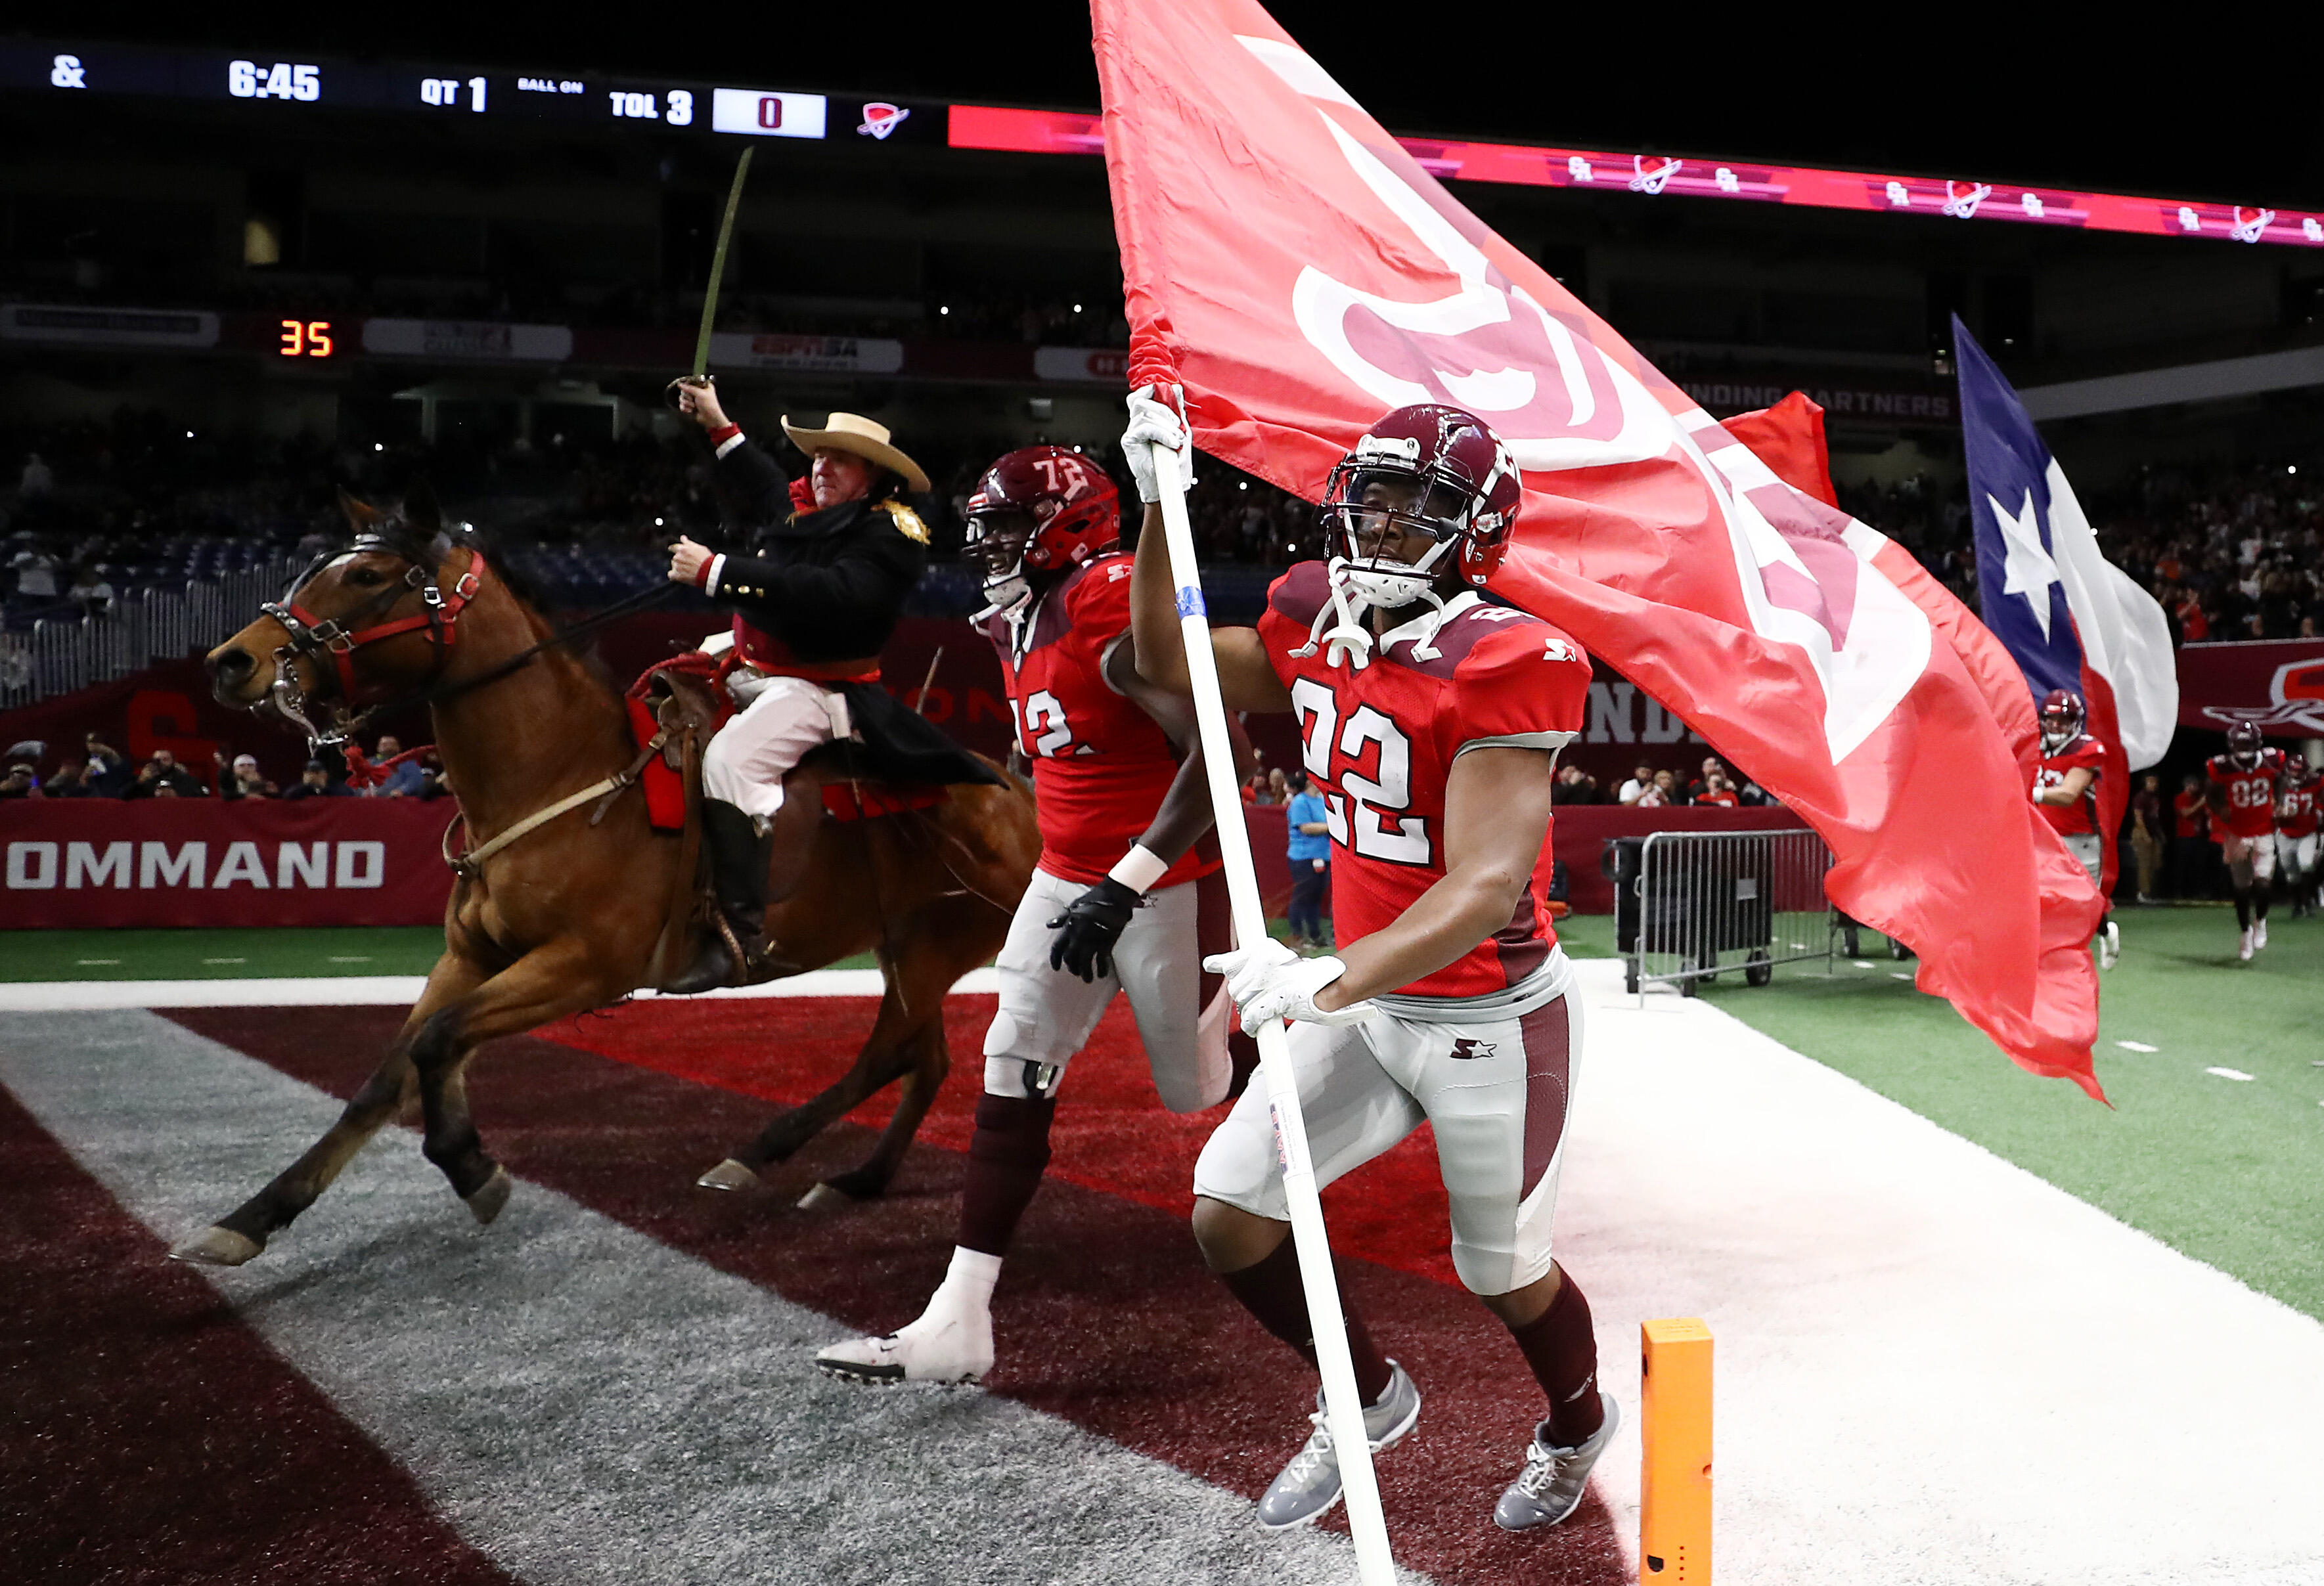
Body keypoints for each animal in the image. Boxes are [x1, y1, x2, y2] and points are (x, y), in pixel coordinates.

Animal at [186, 490, 1041, 1272]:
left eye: (366, 575)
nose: (232, 662)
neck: (556, 773)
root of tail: (1019, 791)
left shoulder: (583, 968)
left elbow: (438, 1043)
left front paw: (471, 1165)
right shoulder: (470, 959)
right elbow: (387, 1077)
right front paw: (252, 1218)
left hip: (936, 947)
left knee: (891, 1052)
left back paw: (762, 1154)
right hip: (908, 945)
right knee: (921, 1057)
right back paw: (858, 1178)